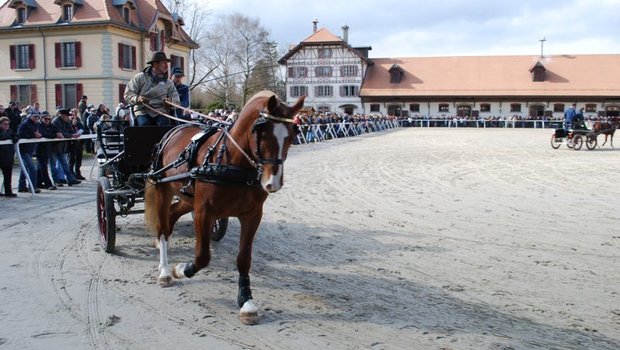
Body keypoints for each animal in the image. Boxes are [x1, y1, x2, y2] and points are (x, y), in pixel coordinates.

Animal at [141, 90, 306, 322]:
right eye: (263, 134)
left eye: (291, 135)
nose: (272, 182)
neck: (232, 163)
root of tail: (174, 130)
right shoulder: (203, 212)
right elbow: (203, 256)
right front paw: (180, 269)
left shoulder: (252, 215)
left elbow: (244, 259)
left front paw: (246, 301)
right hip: (163, 191)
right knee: (163, 227)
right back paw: (164, 270)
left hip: (186, 198)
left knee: (172, 216)